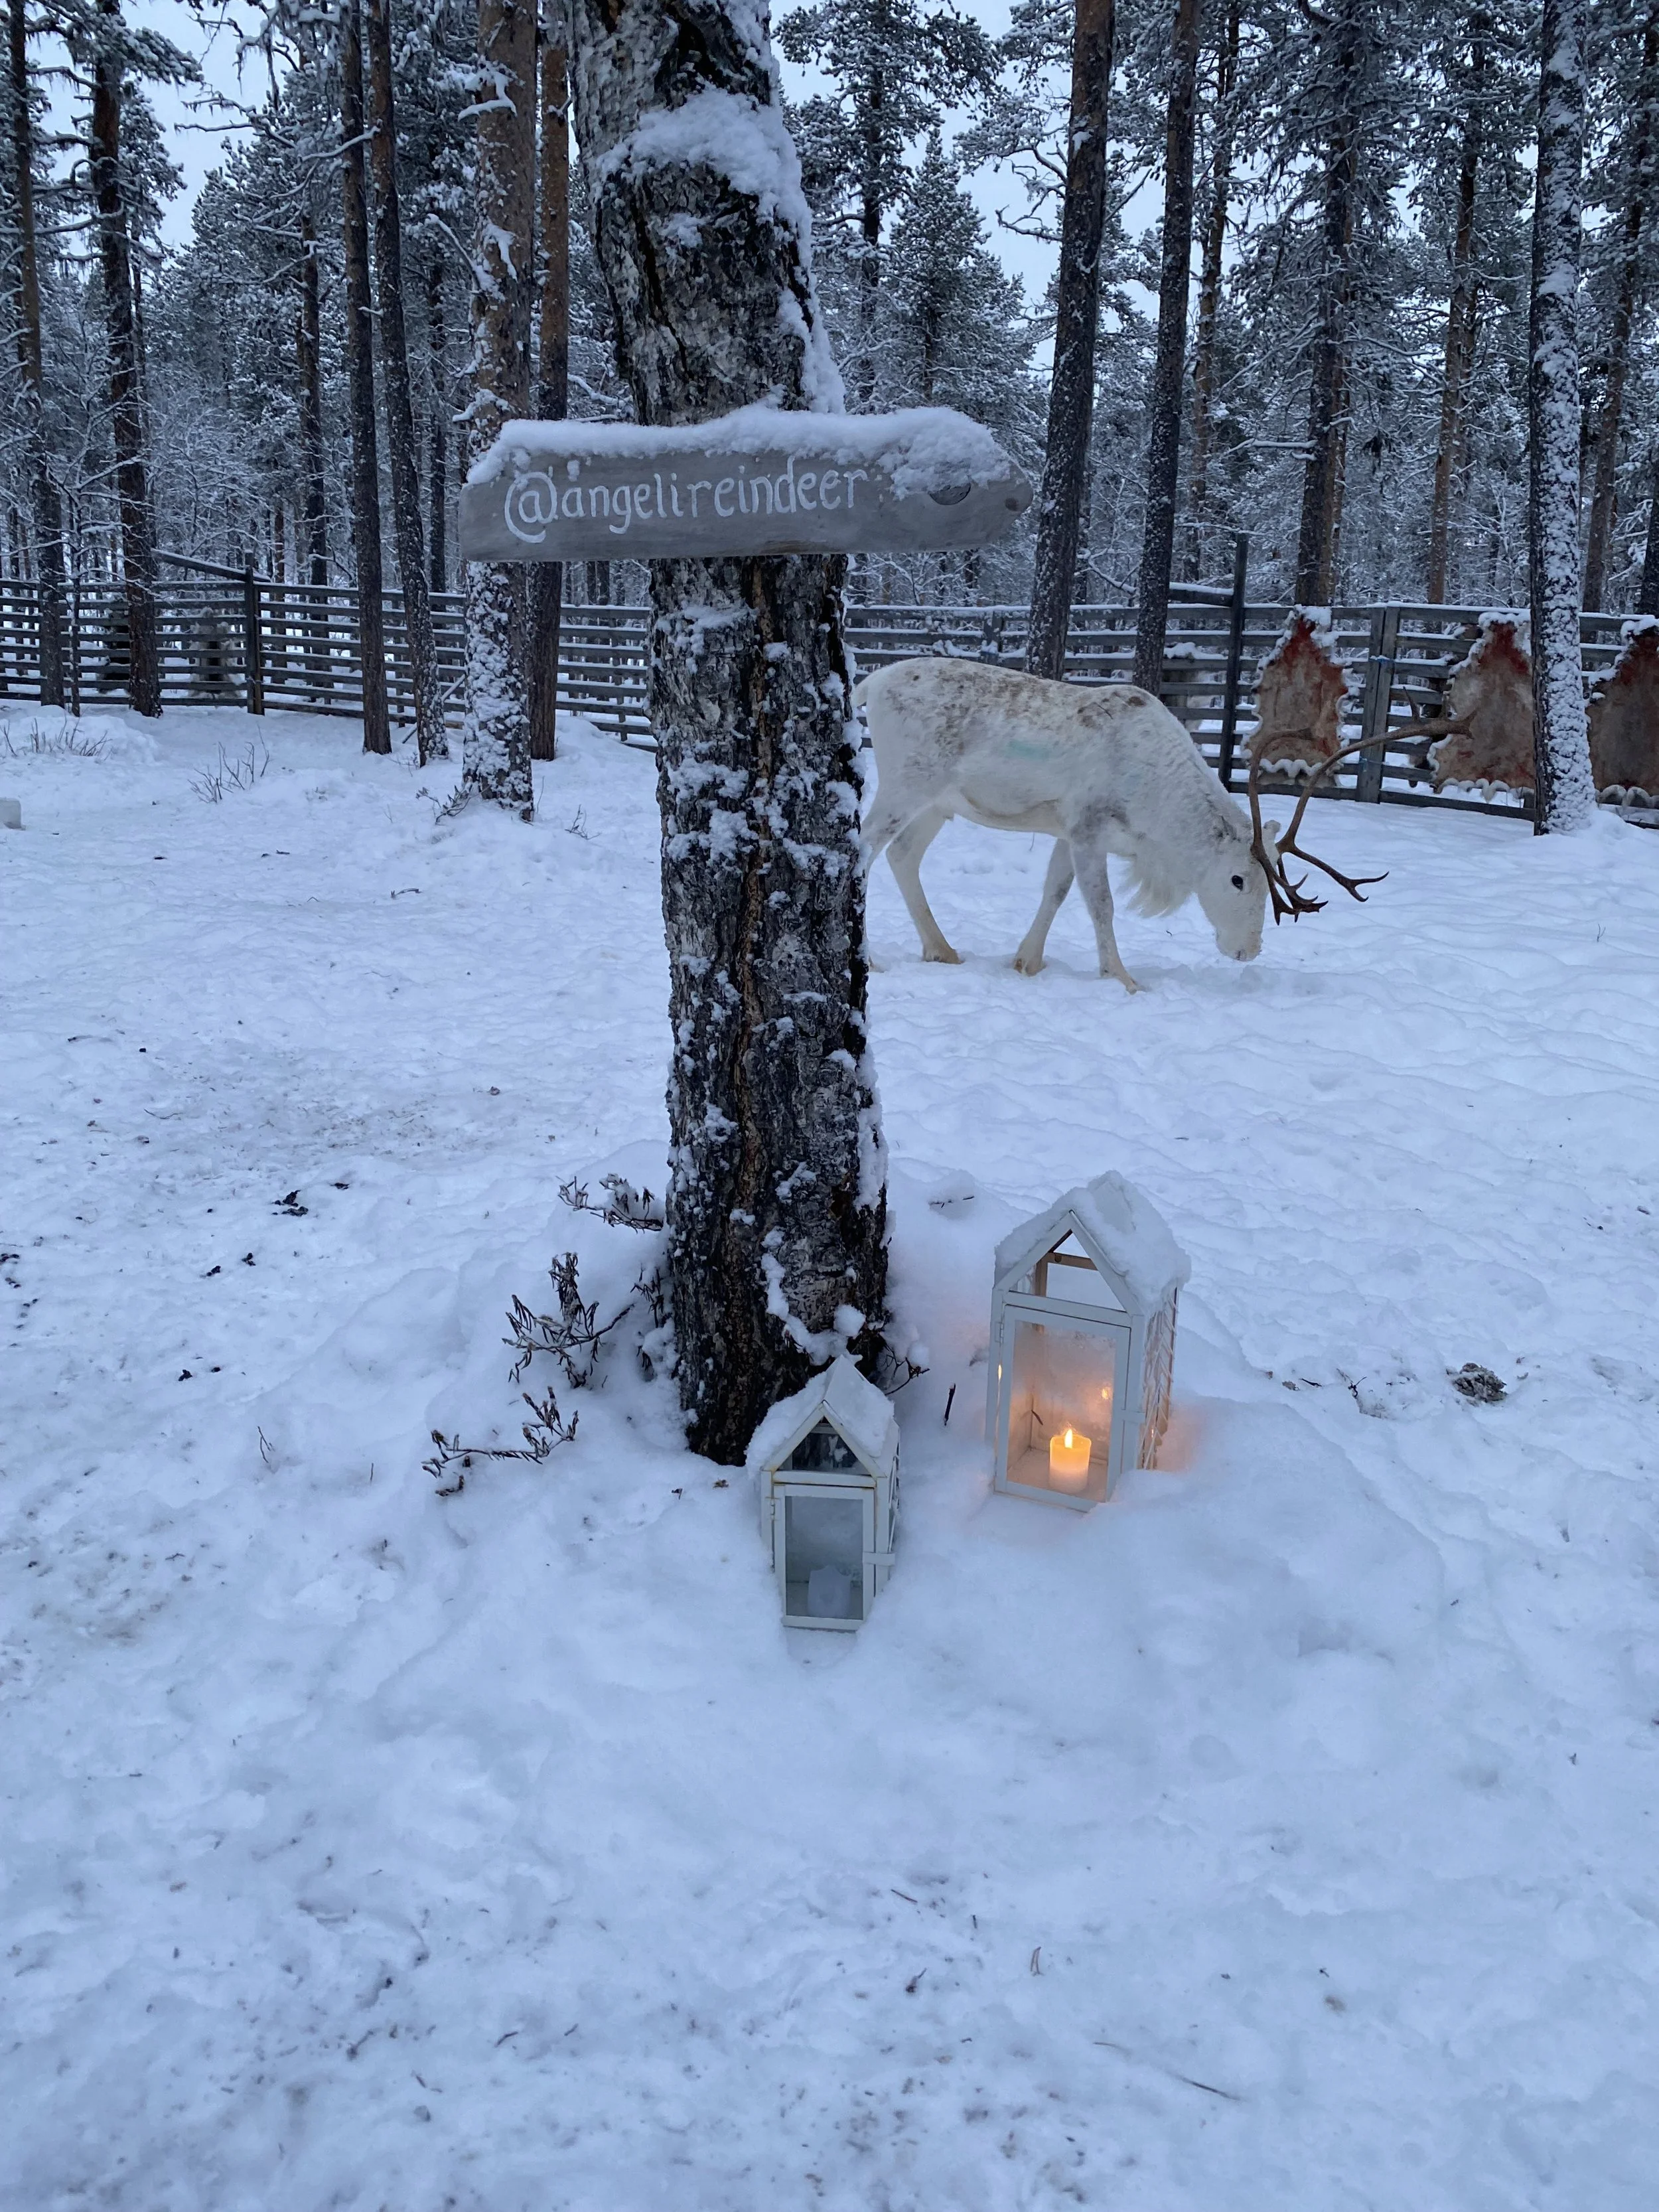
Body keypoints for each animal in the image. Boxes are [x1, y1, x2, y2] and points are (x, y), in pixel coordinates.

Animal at [855, 657, 1382, 991]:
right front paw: (1123, 978)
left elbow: (1055, 891)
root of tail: (871, 683)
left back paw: (941, 949)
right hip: (905, 782)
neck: (1156, 824)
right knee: (863, 848)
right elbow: (1101, 906)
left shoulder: (1068, 831)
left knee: (903, 854)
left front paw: (1027, 961)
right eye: (1237, 879)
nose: (1248, 951)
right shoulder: (1089, 827)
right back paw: (873, 958)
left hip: (938, 803)